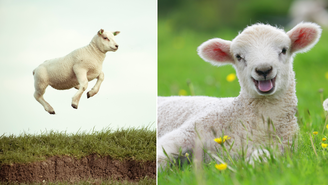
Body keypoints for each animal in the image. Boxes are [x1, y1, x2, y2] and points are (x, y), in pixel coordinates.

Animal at [158, 22, 322, 168]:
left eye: (283, 50)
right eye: (238, 56)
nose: (263, 69)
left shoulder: (282, 148)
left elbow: (262, 157)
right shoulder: (188, 132)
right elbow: (161, 154)